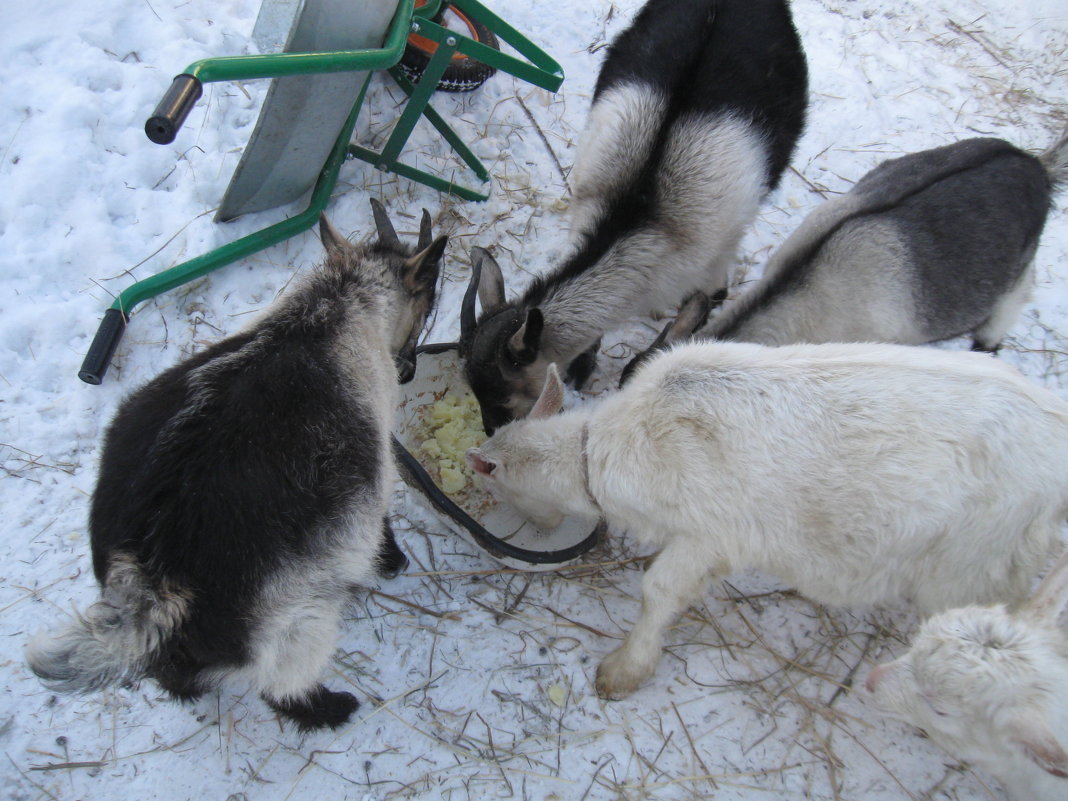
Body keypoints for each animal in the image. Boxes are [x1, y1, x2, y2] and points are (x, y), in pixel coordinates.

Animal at [27, 200, 446, 734]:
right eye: (429, 302)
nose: (408, 369)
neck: (339, 307)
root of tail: (155, 578)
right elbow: (384, 519)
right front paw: (392, 561)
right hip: (298, 616)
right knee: (284, 684)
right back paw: (331, 709)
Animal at [457, 0, 803, 433]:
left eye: (504, 396)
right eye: (474, 391)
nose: (491, 431)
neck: (637, 219)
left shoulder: (707, 257)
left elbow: (697, 307)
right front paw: (583, 364)